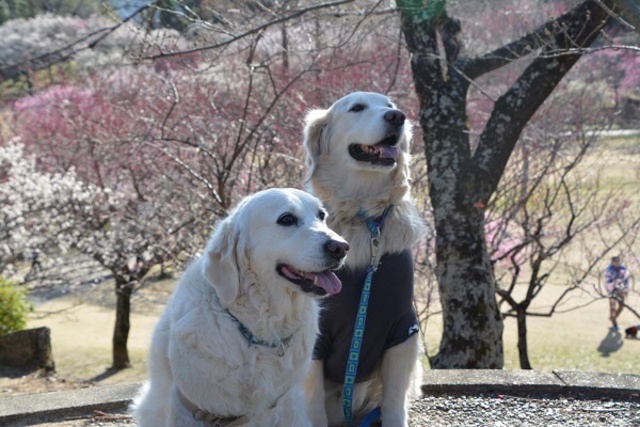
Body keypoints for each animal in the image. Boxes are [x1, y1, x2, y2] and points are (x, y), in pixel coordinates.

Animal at [131, 188, 350, 427]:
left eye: (321, 215)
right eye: (286, 219)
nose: (341, 247)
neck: (260, 330)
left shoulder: (283, 403)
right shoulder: (190, 408)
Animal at [302, 92, 428, 426]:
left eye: (389, 105)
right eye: (357, 108)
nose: (398, 117)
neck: (363, 216)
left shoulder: (403, 331)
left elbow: (395, 404)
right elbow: (313, 407)